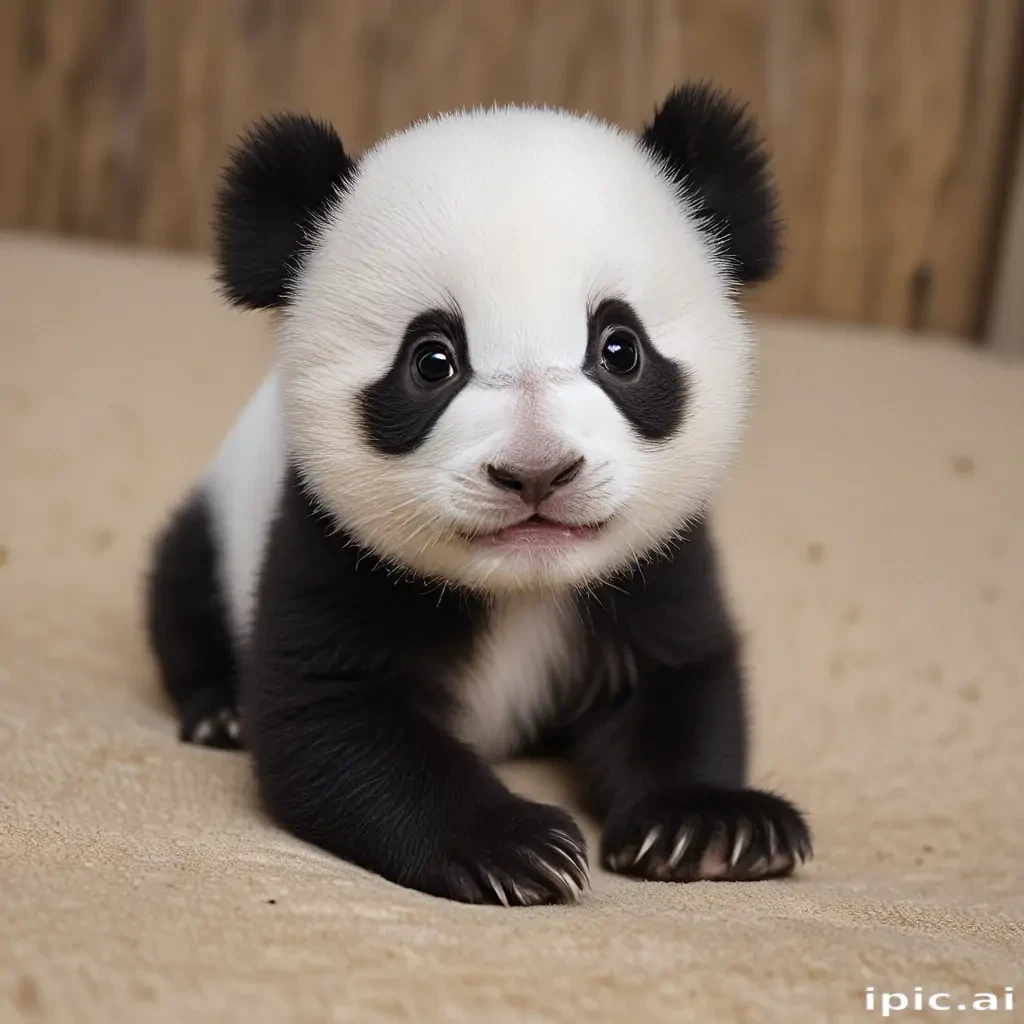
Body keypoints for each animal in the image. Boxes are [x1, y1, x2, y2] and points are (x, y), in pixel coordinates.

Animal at [146, 83, 812, 907]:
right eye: (432, 360)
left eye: (619, 348)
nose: (538, 472)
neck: (523, 585)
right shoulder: (328, 542)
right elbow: (331, 717)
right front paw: (514, 844)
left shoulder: (659, 564)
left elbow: (682, 682)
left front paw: (711, 826)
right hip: (214, 522)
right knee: (180, 588)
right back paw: (218, 712)